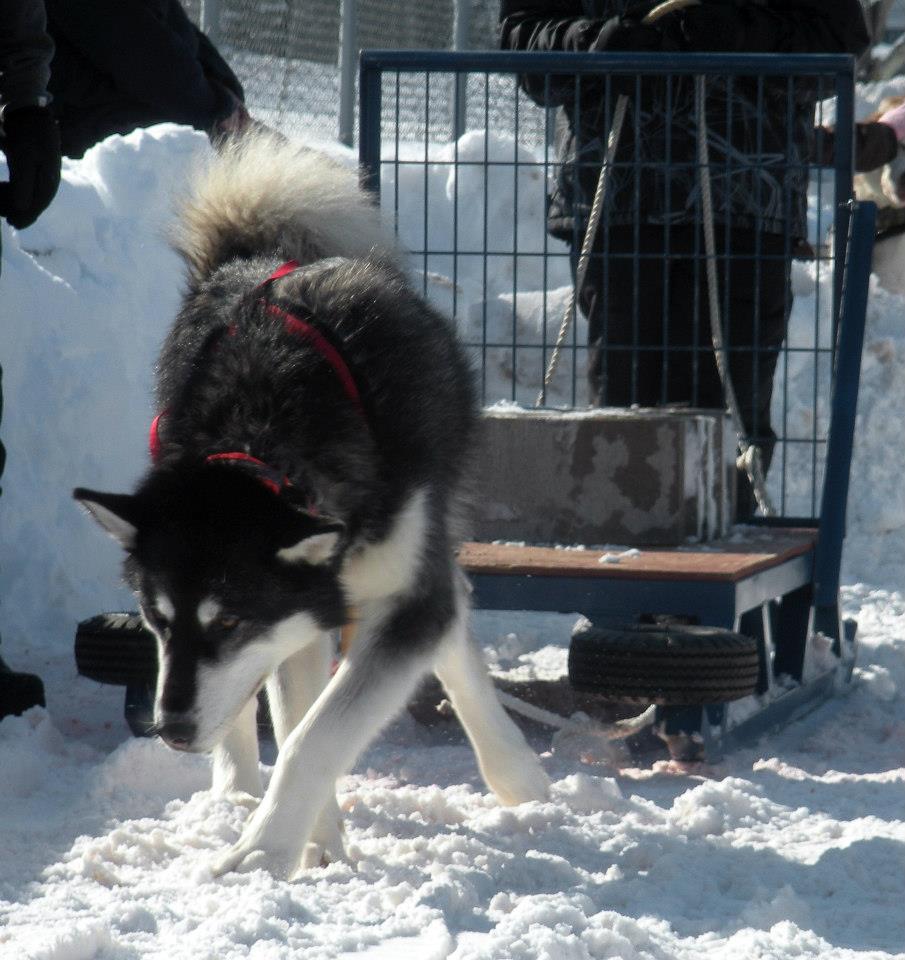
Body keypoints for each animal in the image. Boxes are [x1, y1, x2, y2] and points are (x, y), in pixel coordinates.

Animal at [74, 133, 548, 876]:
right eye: (155, 621)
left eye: (229, 621)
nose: (171, 729)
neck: (263, 435)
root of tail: (264, 253)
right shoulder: (290, 618)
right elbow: (299, 720)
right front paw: (311, 838)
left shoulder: (396, 597)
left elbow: (313, 737)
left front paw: (265, 849)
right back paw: (238, 790)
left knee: (451, 613)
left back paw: (517, 776)